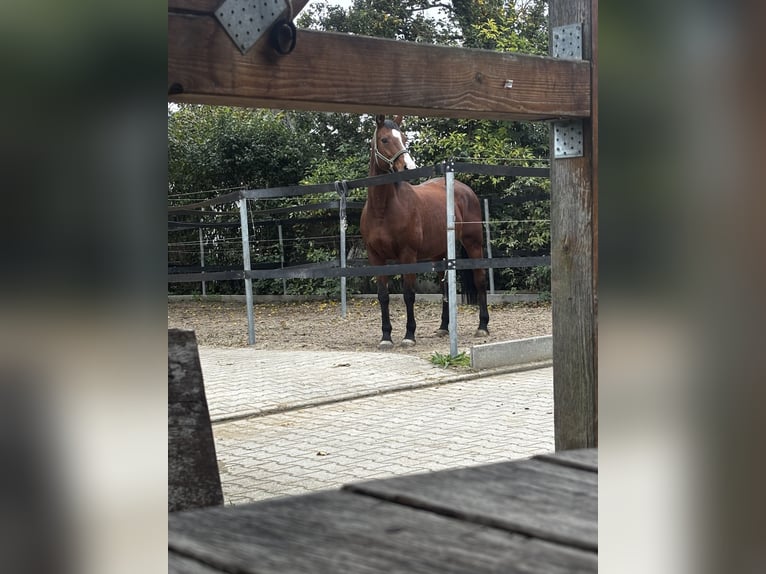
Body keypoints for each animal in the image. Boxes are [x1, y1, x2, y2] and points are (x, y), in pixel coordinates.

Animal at [360, 114, 489, 348]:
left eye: (404, 138)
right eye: (384, 139)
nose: (408, 167)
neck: (383, 209)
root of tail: (465, 189)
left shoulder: (407, 255)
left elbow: (409, 294)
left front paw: (409, 335)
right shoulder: (376, 258)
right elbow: (383, 296)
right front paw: (386, 337)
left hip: (474, 244)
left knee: (480, 280)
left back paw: (482, 326)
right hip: (440, 253)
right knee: (445, 286)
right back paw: (444, 327)